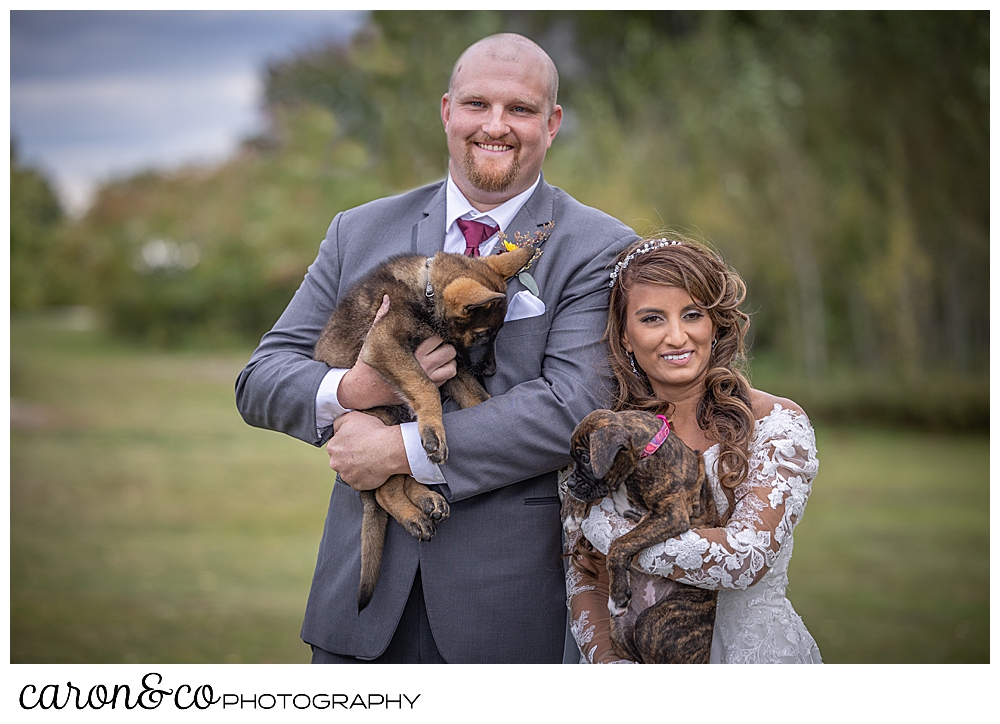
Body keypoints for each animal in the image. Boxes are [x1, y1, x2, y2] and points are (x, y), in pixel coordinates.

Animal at [314, 245, 536, 612]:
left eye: (498, 333)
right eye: (484, 334)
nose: (491, 369)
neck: (426, 293)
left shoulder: (453, 362)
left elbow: (475, 396)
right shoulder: (386, 342)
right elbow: (425, 385)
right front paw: (435, 429)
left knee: (405, 470)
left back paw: (428, 499)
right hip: (381, 424)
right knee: (385, 491)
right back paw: (413, 514)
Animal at [564, 408, 720, 660]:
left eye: (586, 458)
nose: (568, 483)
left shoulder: (670, 515)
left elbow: (619, 544)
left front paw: (617, 594)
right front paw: (571, 509)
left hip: (656, 620)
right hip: (619, 630)